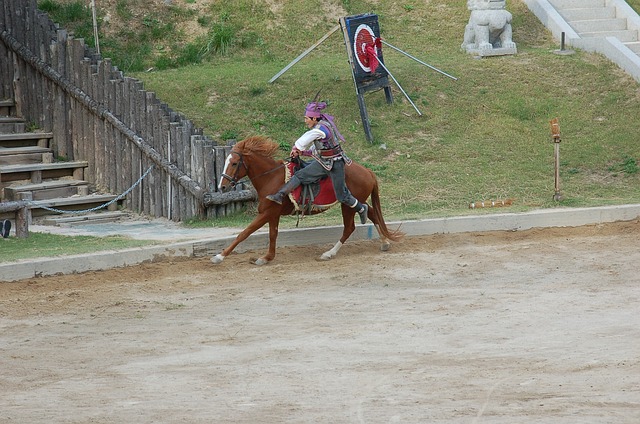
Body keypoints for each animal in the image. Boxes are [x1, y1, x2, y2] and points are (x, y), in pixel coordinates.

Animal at [212, 136, 402, 264]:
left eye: (234, 163)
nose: (222, 186)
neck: (271, 177)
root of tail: (367, 171)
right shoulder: (273, 214)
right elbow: (273, 234)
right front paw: (267, 257)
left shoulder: (266, 213)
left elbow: (244, 233)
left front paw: (220, 256)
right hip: (354, 201)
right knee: (370, 212)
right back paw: (384, 242)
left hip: (347, 205)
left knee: (350, 227)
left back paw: (329, 253)